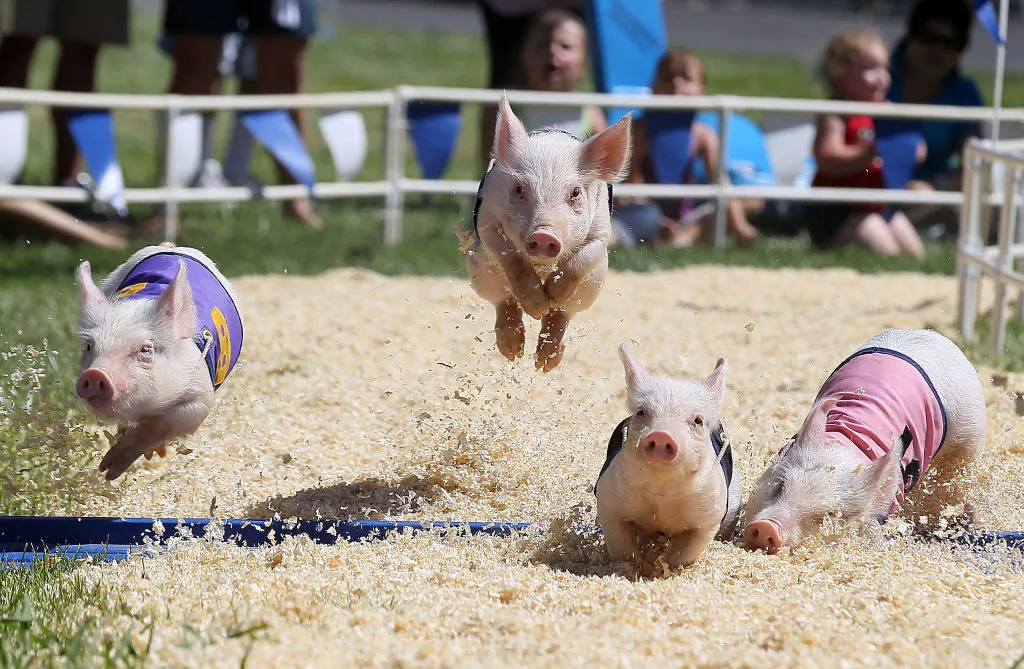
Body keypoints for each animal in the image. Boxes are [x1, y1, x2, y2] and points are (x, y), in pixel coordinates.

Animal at [74, 243, 244, 480]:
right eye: (89, 346)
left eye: (146, 349)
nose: (95, 373)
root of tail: (170, 246)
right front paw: (106, 470)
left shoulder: (200, 393)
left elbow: (173, 420)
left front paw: (110, 469)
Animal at [467, 94, 632, 372]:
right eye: (519, 189)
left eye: (575, 192)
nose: (544, 235)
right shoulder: (487, 220)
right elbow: (510, 256)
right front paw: (536, 307)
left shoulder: (601, 231)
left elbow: (583, 258)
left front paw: (551, 299)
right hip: (480, 269)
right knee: (504, 301)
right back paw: (514, 352)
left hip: (593, 284)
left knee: (563, 314)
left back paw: (545, 362)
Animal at [594, 342, 741, 569]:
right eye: (641, 412)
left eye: (698, 420)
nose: (662, 435)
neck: (662, 494)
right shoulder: (608, 500)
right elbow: (622, 547)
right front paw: (631, 567)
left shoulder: (709, 514)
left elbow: (685, 553)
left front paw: (667, 568)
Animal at [743, 328, 987, 555]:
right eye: (779, 486)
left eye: (831, 515)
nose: (766, 527)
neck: (848, 446)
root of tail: (936, 337)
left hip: (970, 436)